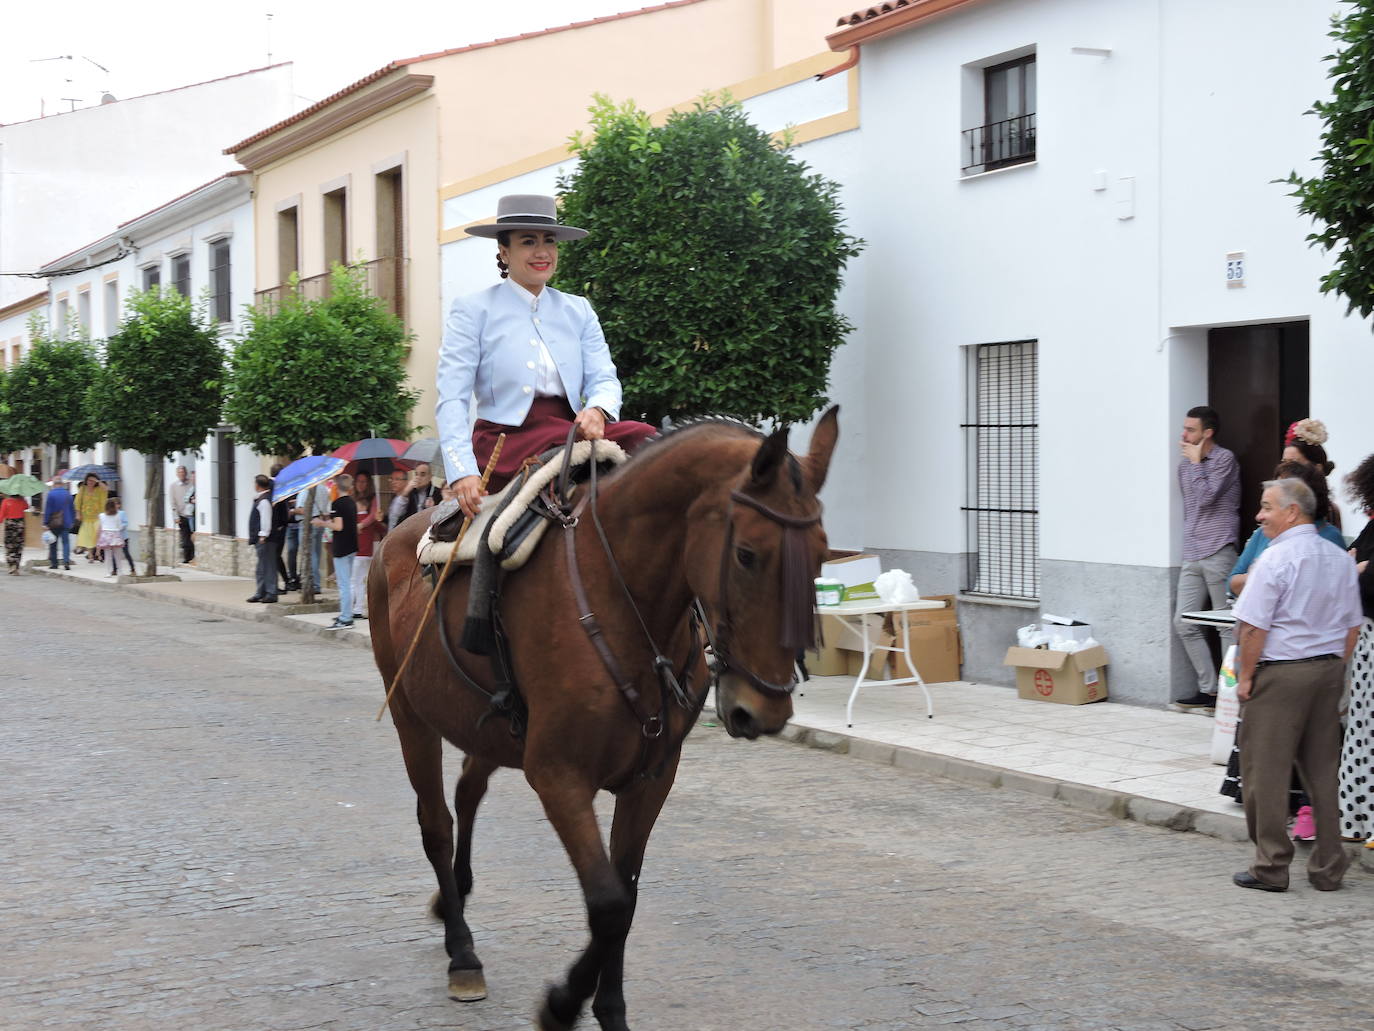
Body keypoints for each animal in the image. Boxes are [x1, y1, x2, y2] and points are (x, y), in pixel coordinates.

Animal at [366, 407, 838, 1030]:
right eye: (747, 554)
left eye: (823, 555)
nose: (762, 709)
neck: (624, 600)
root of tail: (389, 538)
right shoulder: (559, 777)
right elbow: (609, 903)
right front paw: (563, 1004)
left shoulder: (650, 778)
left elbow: (626, 894)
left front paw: (609, 1009)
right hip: (411, 720)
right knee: (437, 825)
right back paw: (462, 952)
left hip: (489, 731)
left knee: (467, 794)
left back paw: (453, 900)